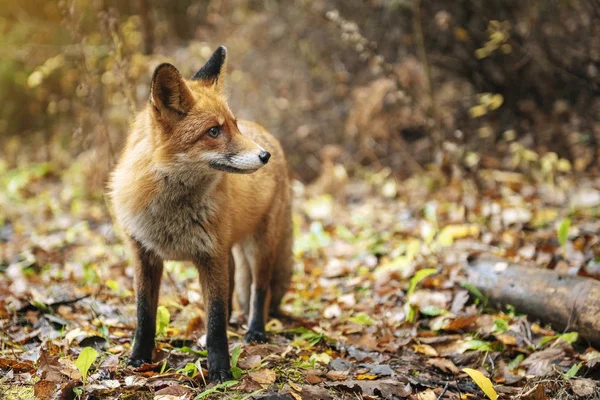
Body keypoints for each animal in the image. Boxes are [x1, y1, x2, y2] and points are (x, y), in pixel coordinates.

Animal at [111, 46, 294, 382]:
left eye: (234, 125)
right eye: (213, 131)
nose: (264, 155)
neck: (171, 211)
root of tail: (268, 134)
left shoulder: (211, 254)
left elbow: (216, 320)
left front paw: (221, 371)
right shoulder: (144, 253)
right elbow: (144, 315)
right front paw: (138, 358)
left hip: (259, 246)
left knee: (258, 289)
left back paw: (255, 330)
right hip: (229, 249)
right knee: (235, 283)